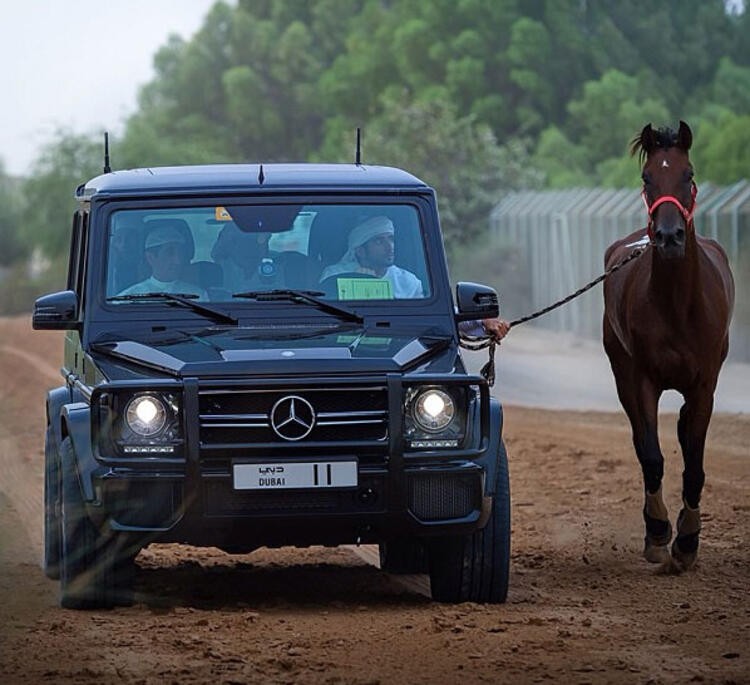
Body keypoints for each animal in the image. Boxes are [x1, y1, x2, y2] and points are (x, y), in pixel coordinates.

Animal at [604, 120, 736, 568]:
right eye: (648, 177)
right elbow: (651, 455)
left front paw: (689, 540)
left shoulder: (705, 383)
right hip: (622, 373)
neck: (678, 305)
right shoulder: (641, 380)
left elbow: (694, 460)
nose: (669, 236)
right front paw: (660, 533)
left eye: (688, 174)